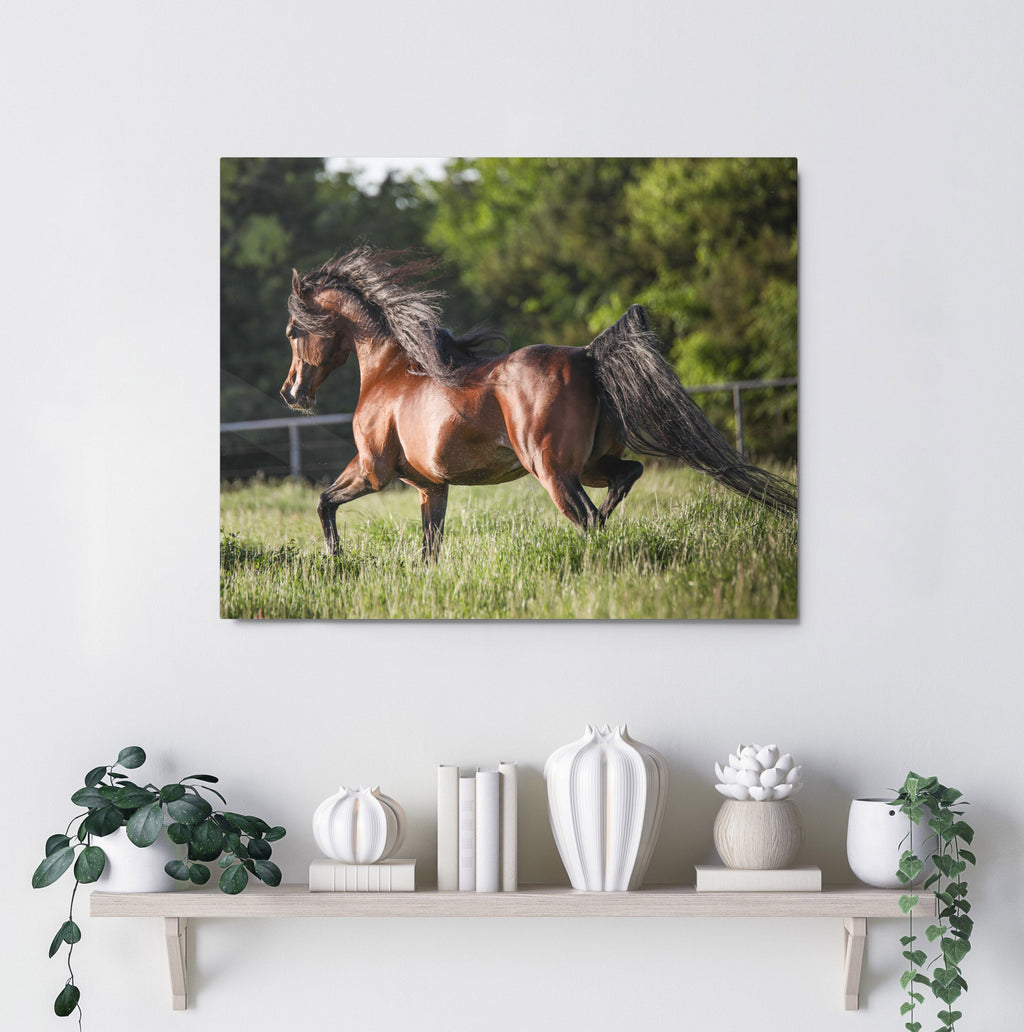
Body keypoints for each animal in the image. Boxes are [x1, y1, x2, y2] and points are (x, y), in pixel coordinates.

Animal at [280, 245, 796, 561]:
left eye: (291, 331)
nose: (292, 393)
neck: (390, 370)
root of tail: (587, 356)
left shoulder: (374, 470)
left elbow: (324, 503)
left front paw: (335, 559)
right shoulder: (432, 488)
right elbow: (429, 548)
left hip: (551, 470)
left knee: (587, 517)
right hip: (589, 464)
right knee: (623, 480)